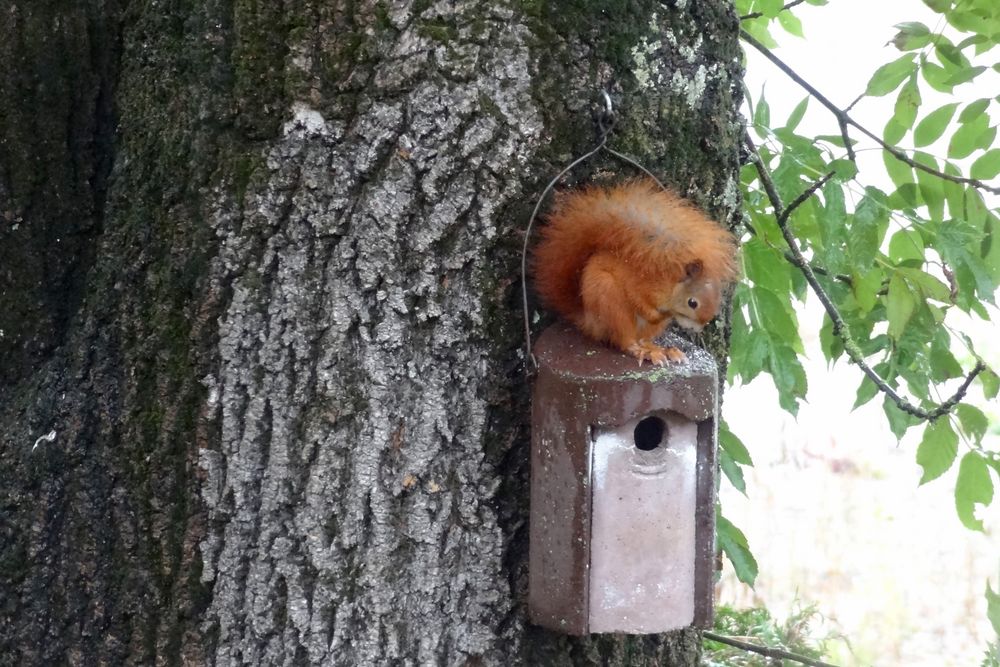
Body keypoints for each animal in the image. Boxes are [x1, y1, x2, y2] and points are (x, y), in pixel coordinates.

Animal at [536, 177, 740, 366]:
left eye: (717, 303)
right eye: (692, 303)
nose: (697, 329)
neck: (670, 284)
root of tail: (588, 321)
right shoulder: (640, 282)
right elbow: (637, 298)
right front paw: (656, 315)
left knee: (642, 339)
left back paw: (662, 350)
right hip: (609, 301)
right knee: (625, 340)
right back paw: (641, 350)